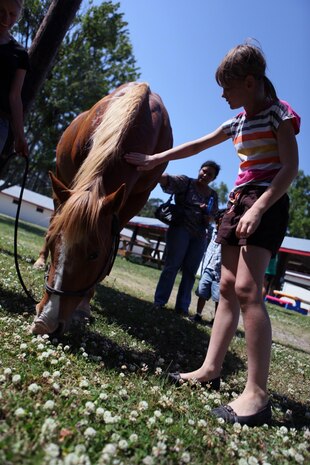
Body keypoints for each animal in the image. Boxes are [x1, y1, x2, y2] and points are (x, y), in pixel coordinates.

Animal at [31, 80, 173, 334]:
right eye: (55, 242)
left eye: (94, 254)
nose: (45, 322)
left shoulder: (135, 200)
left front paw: (84, 306)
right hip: (60, 181)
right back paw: (39, 261)